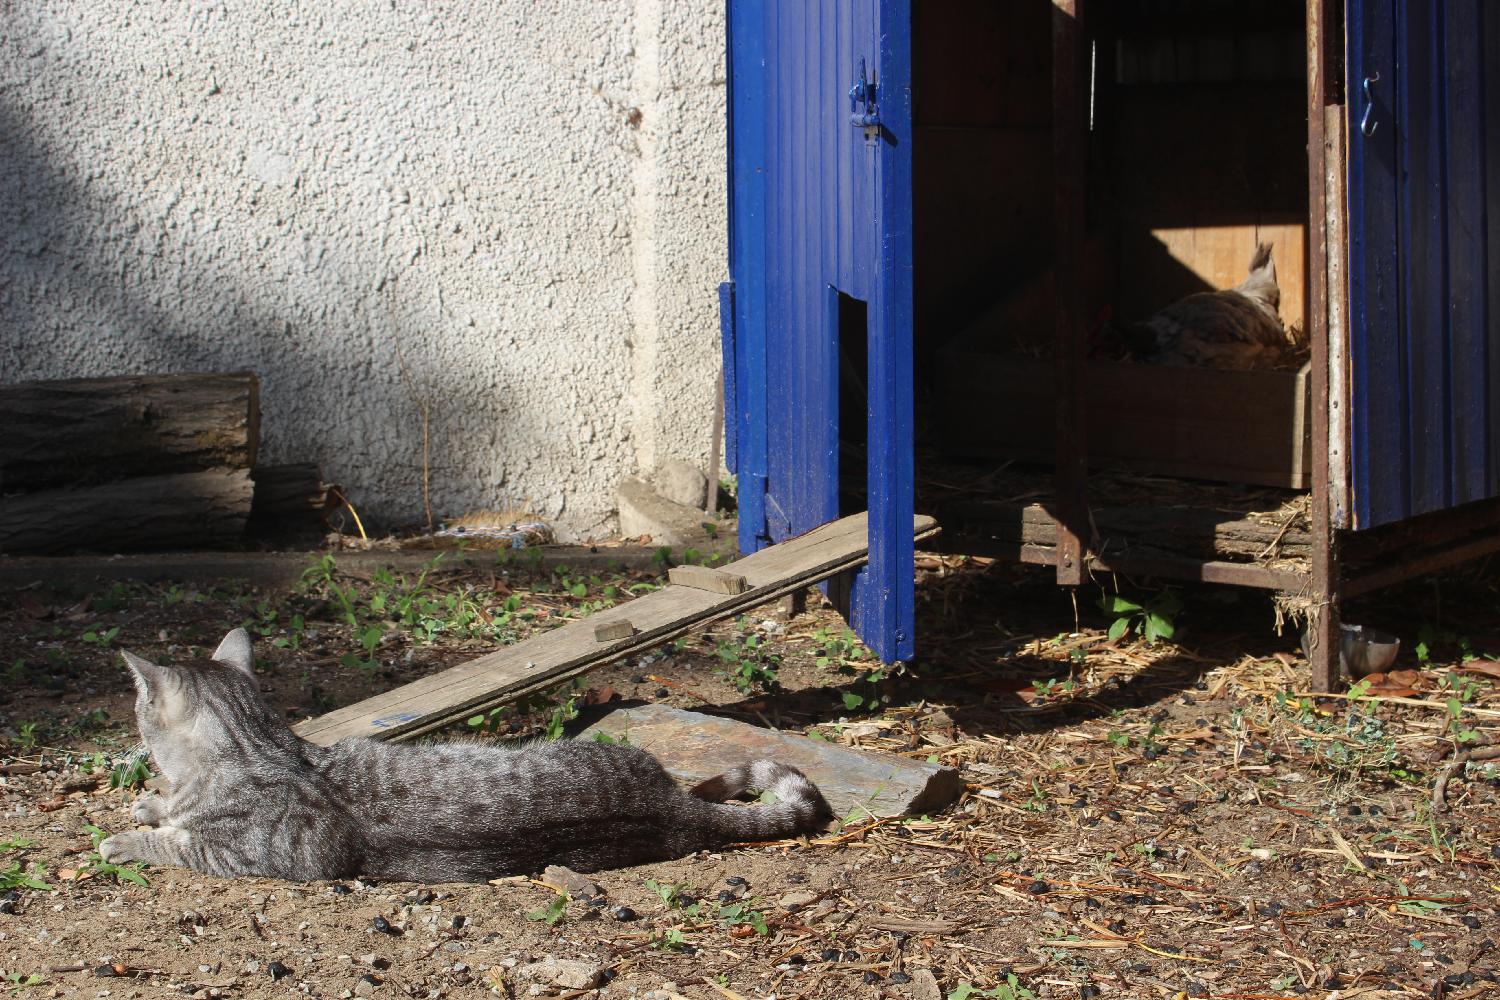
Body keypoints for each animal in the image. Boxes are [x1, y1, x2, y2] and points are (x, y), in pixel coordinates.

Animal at [98, 629, 834, 881]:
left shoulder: (263, 857)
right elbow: (170, 811)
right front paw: (152, 804)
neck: (259, 746)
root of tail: (670, 810)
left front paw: (128, 837)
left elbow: (177, 844)